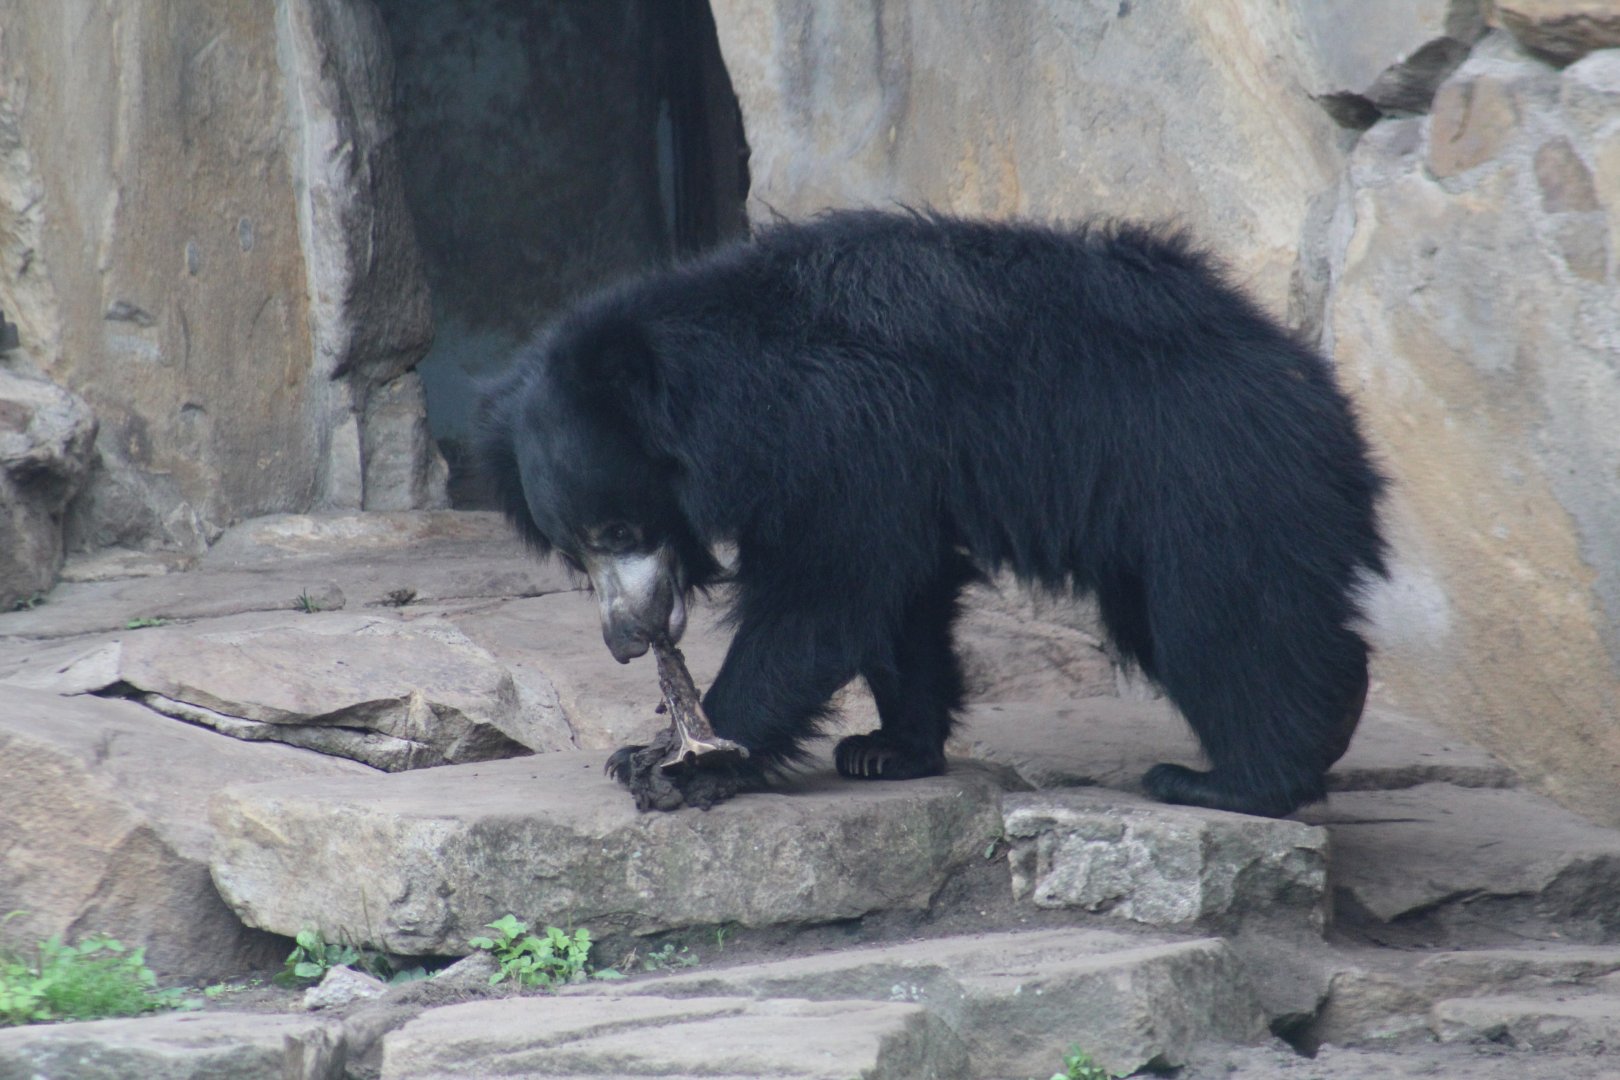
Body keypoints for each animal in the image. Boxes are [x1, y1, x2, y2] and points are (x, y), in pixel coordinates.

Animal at [475, 210, 1387, 818]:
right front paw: (887, 751)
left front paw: (670, 761)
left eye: (621, 531)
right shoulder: (886, 463)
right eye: (576, 551)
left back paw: (1233, 781)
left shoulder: (840, 431)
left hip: (1211, 483)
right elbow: (903, 594)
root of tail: (1325, 396)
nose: (629, 639)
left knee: (1223, 624)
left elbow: (824, 594)